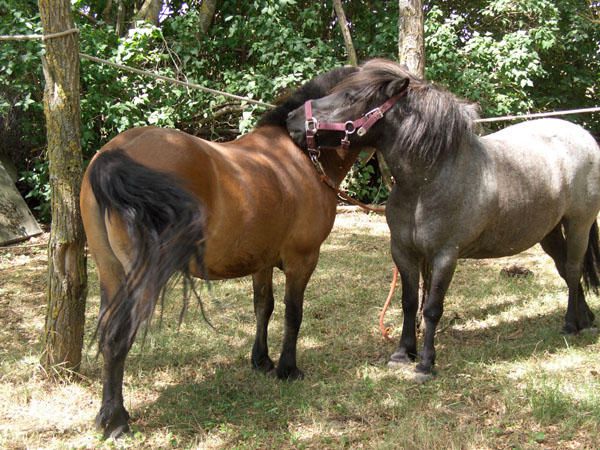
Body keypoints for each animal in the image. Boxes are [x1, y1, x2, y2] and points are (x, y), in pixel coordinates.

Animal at [79, 67, 372, 440]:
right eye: (354, 96)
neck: (299, 157)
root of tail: (115, 154)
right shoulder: (302, 260)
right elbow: (293, 313)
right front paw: (288, 369)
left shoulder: (262, 262)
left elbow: (264, 307)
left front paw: (262, 361)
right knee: (118, 335)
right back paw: (116, 420)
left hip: (110, 273)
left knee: (106, 333)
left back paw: (106, 415)